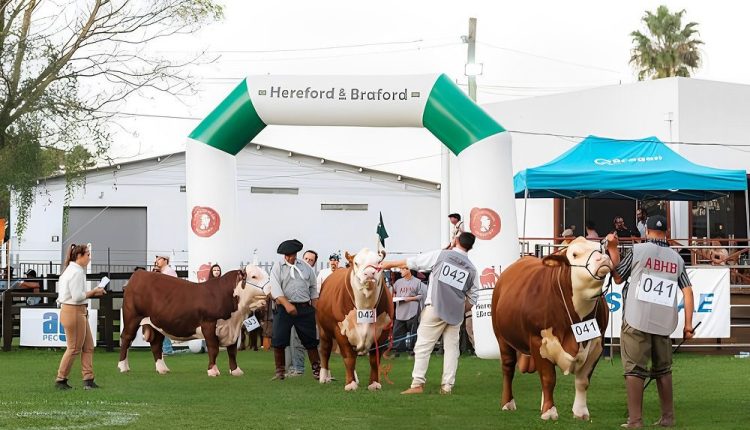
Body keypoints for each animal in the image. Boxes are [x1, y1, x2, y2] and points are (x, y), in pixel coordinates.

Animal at [117, 266, 270, 376]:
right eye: (254, 276)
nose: (269, 288)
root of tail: (139, 273)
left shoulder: (233, 328)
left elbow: (232, 350)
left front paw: (236, 371)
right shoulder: (208, 324)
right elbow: (213, 348)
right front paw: (213, 371)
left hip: (156, 323)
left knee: (156, 344)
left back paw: (162, 369)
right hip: (132, 317)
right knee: (126, 339)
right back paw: (123, 367)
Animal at [318, 245, 396, 390]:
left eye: (379, 263)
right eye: (356, 263)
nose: (369, 273)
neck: (365, 305)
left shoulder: (382, 331)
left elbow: (374, 360)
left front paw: (374, 383)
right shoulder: (341, 331)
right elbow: (348, 358)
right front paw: (350, 384)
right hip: (323, 329)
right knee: (325, 350)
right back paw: (324, 377)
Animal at [494, 235, 616, 420]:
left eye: (601, 249)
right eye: (574, 254)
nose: (602, 259)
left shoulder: (596, 343)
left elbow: (583, 381)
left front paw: (580, 412)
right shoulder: (538, 340)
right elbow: (548, 378)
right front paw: (549, 412)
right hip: (502, 338)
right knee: (508, 368)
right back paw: (508, 403)